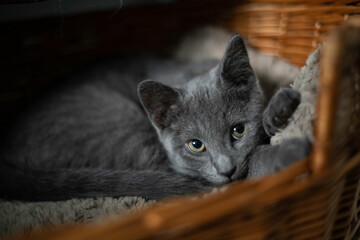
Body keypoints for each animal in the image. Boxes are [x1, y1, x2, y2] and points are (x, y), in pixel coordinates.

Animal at [0, 35, 310, 201]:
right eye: (195, 145)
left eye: (238, 130)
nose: (226, 169)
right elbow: (253, 162)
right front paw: (290, 149)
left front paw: (282, 108)